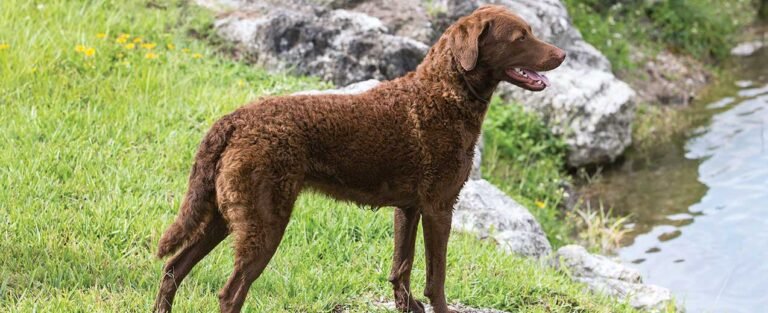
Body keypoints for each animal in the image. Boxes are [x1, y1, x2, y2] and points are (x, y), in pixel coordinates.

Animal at [154, 4, 564, 312]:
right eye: (521, 37)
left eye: (530, 31)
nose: (562, 54)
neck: (442, 96)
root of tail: (233, 120)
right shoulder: (439, 207)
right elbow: (437, 279)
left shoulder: (409, 208)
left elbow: (401, 269)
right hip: (264, 222)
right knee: (229, 294)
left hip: (223, 214)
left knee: (173, 269)